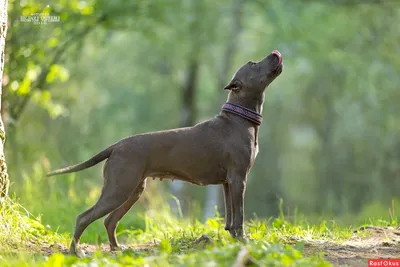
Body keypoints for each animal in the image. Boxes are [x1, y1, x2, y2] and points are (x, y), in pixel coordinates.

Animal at [47, 49, 282, 256]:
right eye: (253, 64)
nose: (274, 53)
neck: (239, 119)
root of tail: (116, 145)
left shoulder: (228, 183)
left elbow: (231, 219)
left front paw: (234, 240)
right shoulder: (238, 179)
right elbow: (239, 217)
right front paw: (244, 242)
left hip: (132, 190)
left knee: (109, 220)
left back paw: (116, 248)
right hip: (119, 189)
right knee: (84, 217)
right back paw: (75, 251)